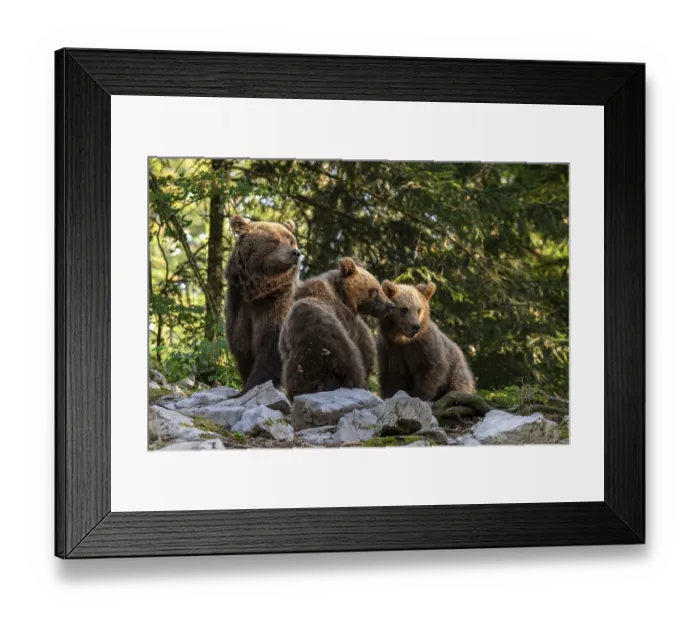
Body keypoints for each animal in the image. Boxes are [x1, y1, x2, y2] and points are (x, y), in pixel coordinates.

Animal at [224, 215, 301, 392]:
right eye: (273, 240)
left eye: (291, 240)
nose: (295, 253)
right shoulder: (239, 309)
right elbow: (242, 347)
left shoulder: (277, 305)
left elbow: (271, 348)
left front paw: (252, 384)